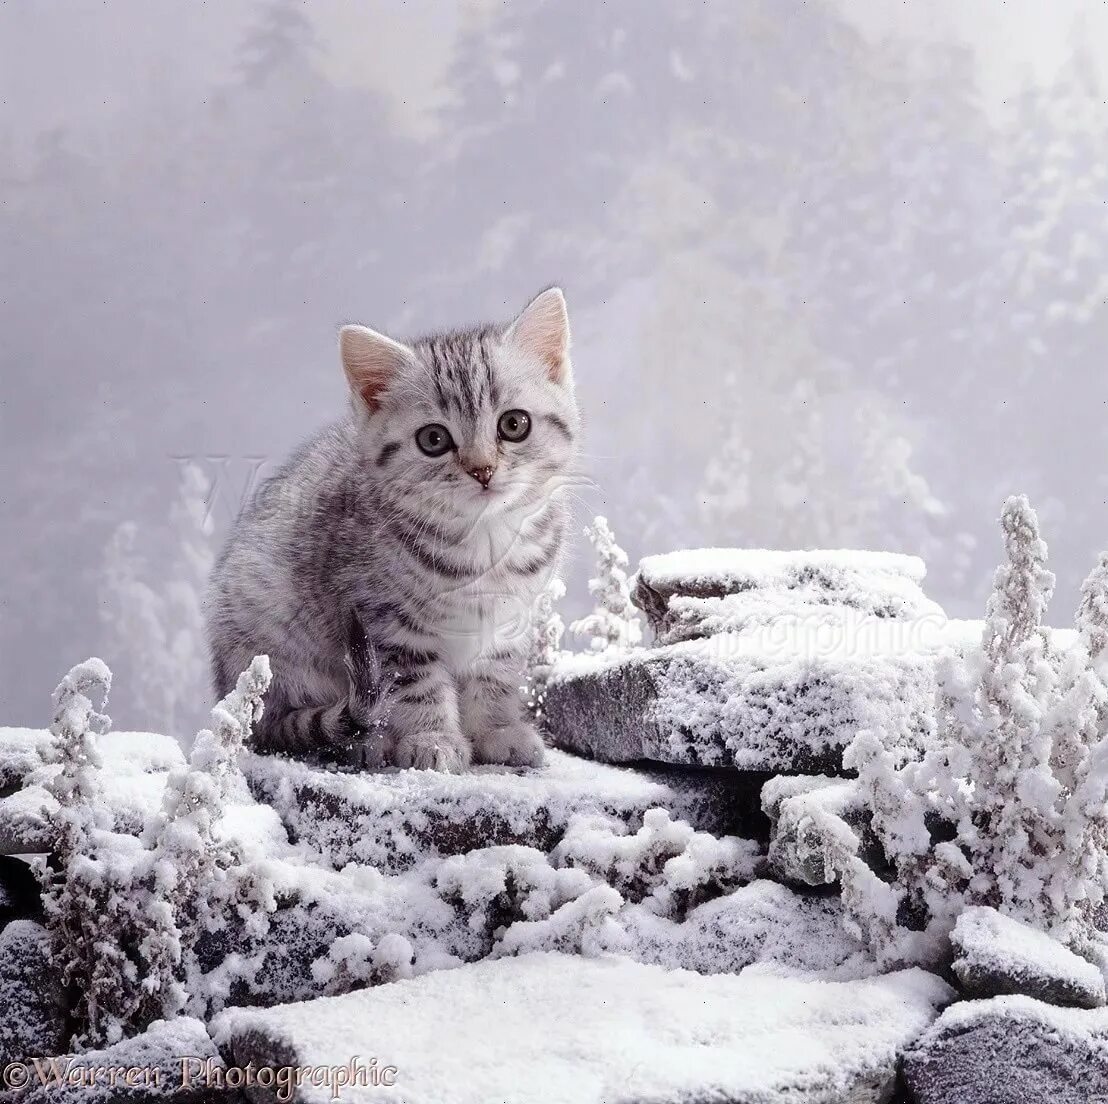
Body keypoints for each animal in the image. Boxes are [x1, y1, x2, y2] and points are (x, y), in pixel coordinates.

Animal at [204, 288, 580, 771]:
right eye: (434, 439)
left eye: (514, 424)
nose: (482, 470)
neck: (484, 544)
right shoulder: (385, 622)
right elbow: (418, 687)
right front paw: (432, 739)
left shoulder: (509, 623)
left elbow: (494, 681)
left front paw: (498, 731)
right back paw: (369, 742)